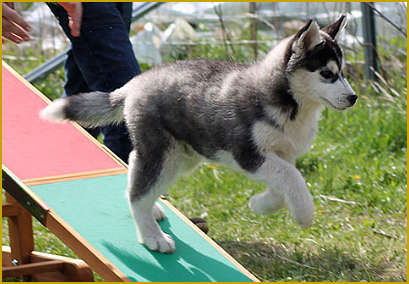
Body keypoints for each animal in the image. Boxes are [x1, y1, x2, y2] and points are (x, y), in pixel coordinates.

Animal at [39, 15, 356, 253]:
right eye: (327, 74)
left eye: (343, 72)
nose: (353, 98)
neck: (291, 104)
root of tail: (136, 81)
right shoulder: (248, 154)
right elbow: (293, 179)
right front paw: (304, 215)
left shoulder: (282, 154)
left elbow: (286, 183)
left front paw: (261, 204)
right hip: (165, 154)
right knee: (138, 193)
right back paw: (152, 236)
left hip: (183, 155)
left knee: (133, 164)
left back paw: (152, 210)